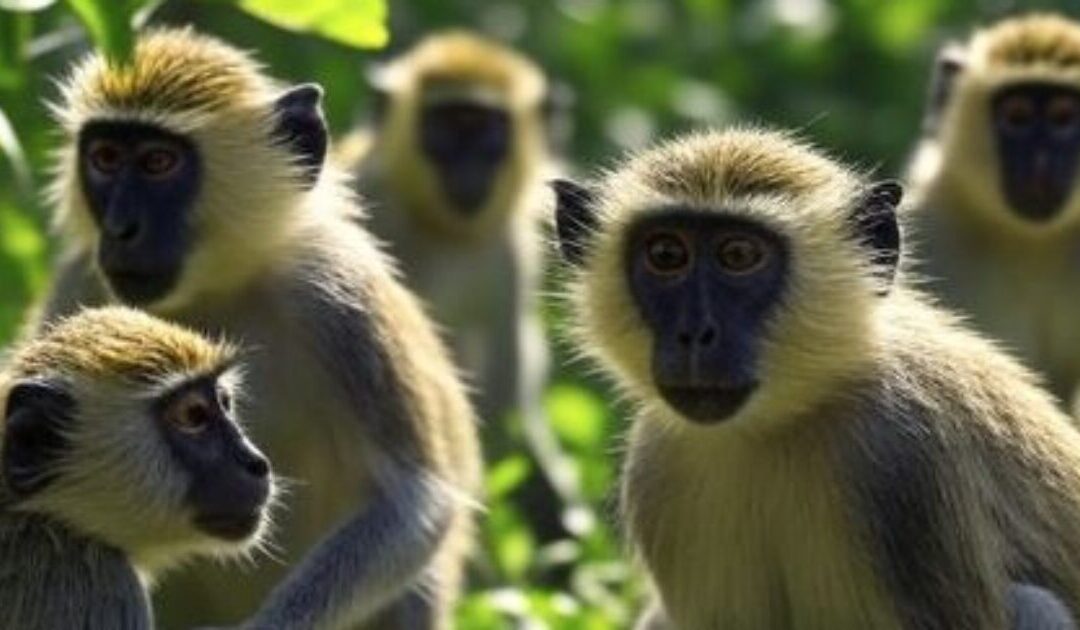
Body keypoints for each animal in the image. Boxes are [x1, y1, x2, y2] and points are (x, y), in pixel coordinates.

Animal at [33, 28, 481, 629]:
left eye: (157, 162)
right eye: (104, 158)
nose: (120, 229)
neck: (216, 289)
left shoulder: (338, 297)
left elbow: (415, 501)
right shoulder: (81, 278)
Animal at [552, 128, 1080, 629]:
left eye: (739, 255)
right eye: (665, 254)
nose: (695, 334)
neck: (782, 422)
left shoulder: (905, 458)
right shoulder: (658, 467)